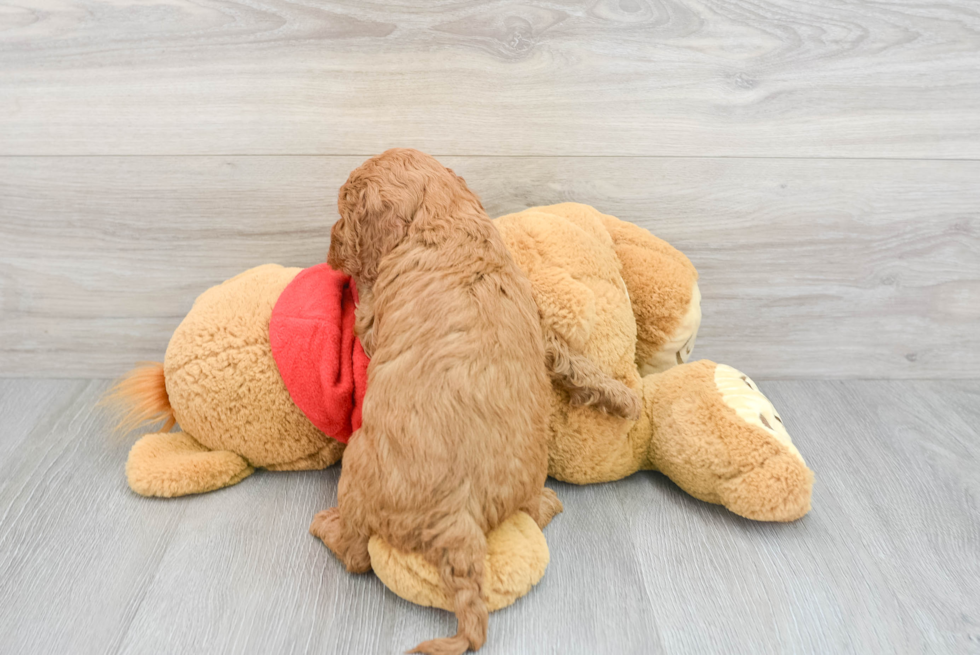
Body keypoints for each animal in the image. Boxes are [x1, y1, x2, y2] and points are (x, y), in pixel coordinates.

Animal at [310, 150, 564, 655]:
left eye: (344, 212)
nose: (329, 254)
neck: (445, 218)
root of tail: (458, 520)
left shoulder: (374, 319)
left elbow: (365, 315)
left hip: (357, 468)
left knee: (355, 554)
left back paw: (326, 527)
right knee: (533, 511)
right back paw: (547, 502)